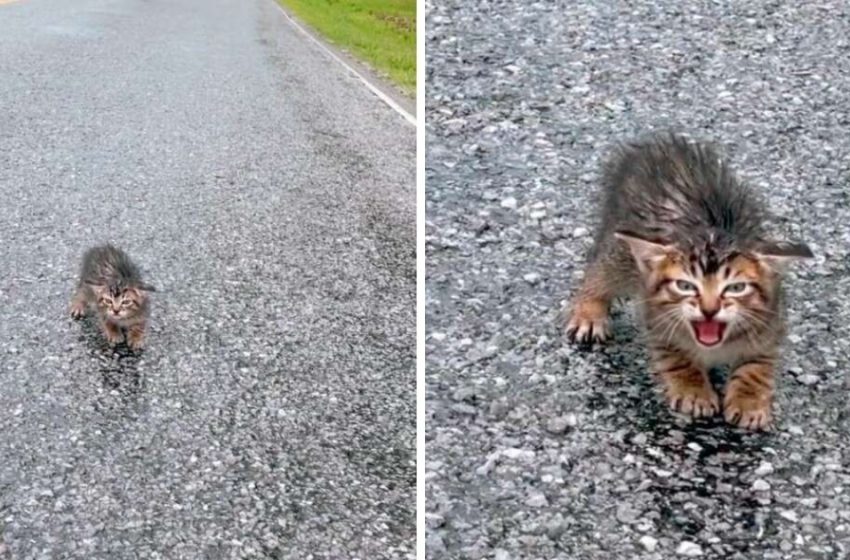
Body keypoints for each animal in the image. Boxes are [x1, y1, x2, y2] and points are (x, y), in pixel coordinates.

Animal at [564, 133, 808, 430]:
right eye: (685, 285)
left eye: (736, 288)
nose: (709, 309)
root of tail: (654, 146)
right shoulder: (656, 318)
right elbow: (677, 357)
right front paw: (694, 391)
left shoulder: (771, 324)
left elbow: (758, 366)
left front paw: (749, 401)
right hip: (622, 252)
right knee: (599, 272)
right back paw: (589, 313)